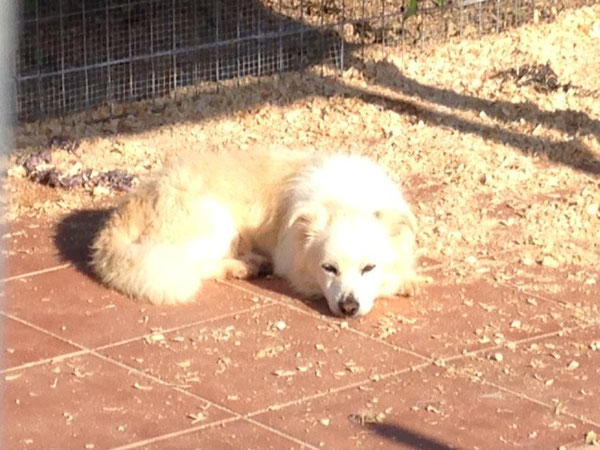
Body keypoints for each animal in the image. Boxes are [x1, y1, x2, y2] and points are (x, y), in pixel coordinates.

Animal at [91, 150, 418, 316]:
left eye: (369, 267)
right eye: (329, 268)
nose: (348, 308)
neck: (347, 198)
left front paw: (406, 279)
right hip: (217, 221)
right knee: (189, 266)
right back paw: (244, 265)